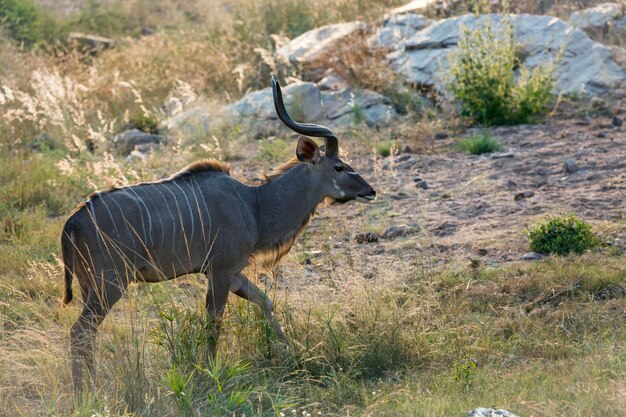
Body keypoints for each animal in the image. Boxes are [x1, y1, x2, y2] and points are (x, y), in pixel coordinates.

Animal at [62, 76, 376, 388]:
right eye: (340, 167)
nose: (370, 191)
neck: (254, 205)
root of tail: (72, 222)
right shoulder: (220, 271)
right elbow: (214, 324)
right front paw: (209, 374)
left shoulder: (234, 274)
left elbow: (266, 302)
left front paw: (292, 352)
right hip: (111, 283)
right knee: (80, 330)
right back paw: (86, 390)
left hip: (91, 286)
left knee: (86, 333)